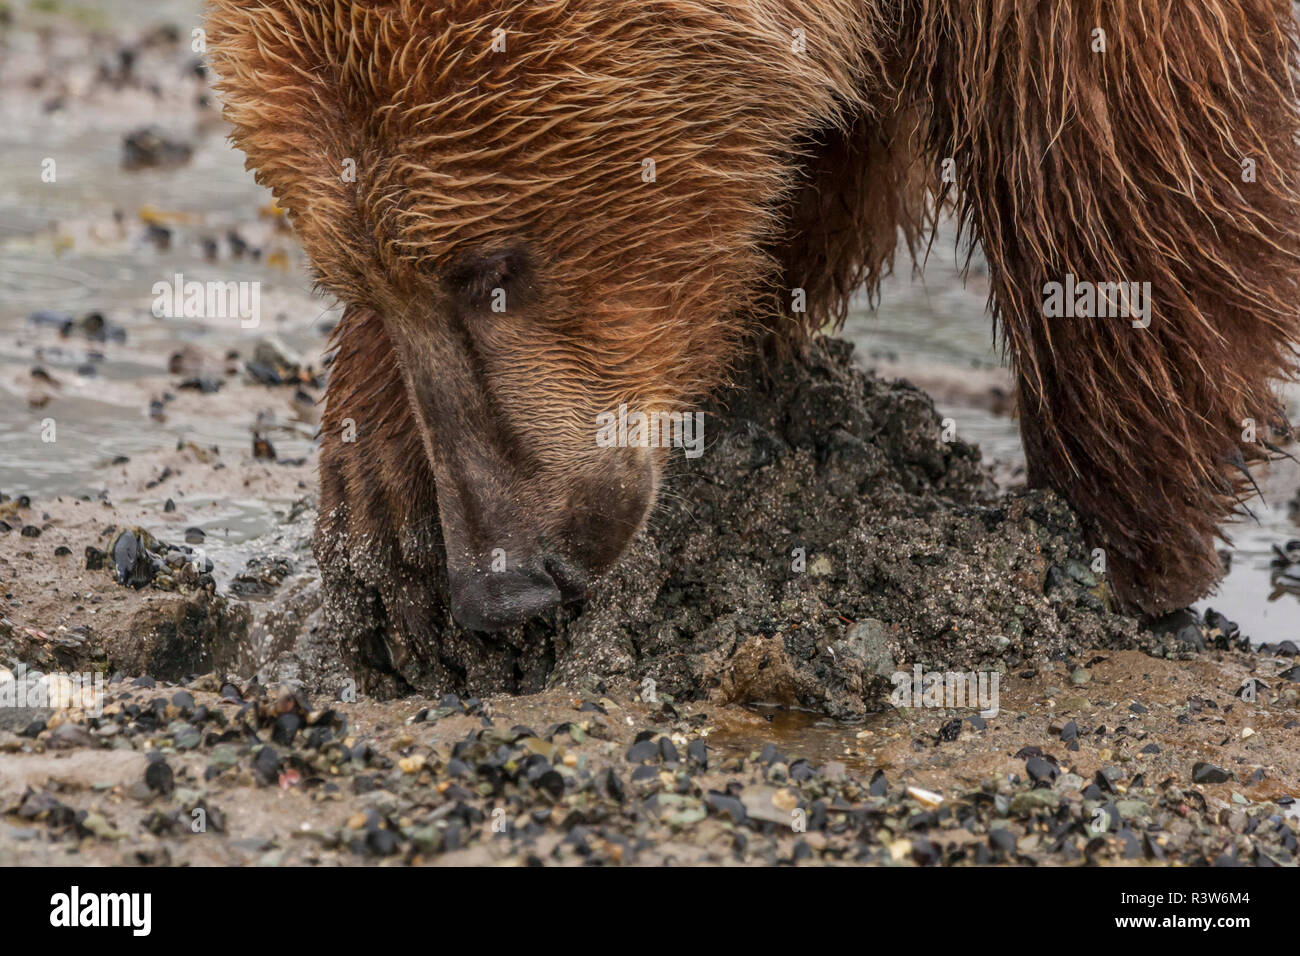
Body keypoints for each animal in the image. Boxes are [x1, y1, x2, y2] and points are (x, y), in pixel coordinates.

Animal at [207, 0, 1300, 691]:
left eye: (494, 266)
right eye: (349, 275)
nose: (505, 584)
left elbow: (1124, 152)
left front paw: (1120, 537)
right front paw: (391, 543)